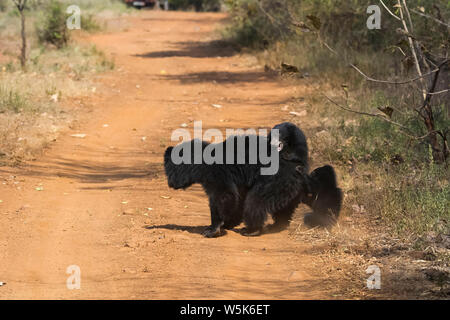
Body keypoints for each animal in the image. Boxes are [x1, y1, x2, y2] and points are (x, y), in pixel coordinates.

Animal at [163, 122, 342, 238]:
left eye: (168, 170)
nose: (170, 184)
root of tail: (298, 169)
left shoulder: (218, 174)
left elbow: (224, 197)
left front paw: (212, 230)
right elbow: (237, 200)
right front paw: (227, 223)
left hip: (275, 182)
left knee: (256, 201)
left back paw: (251, 230)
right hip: (288, 189)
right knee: (282, 209)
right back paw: (276, 225)